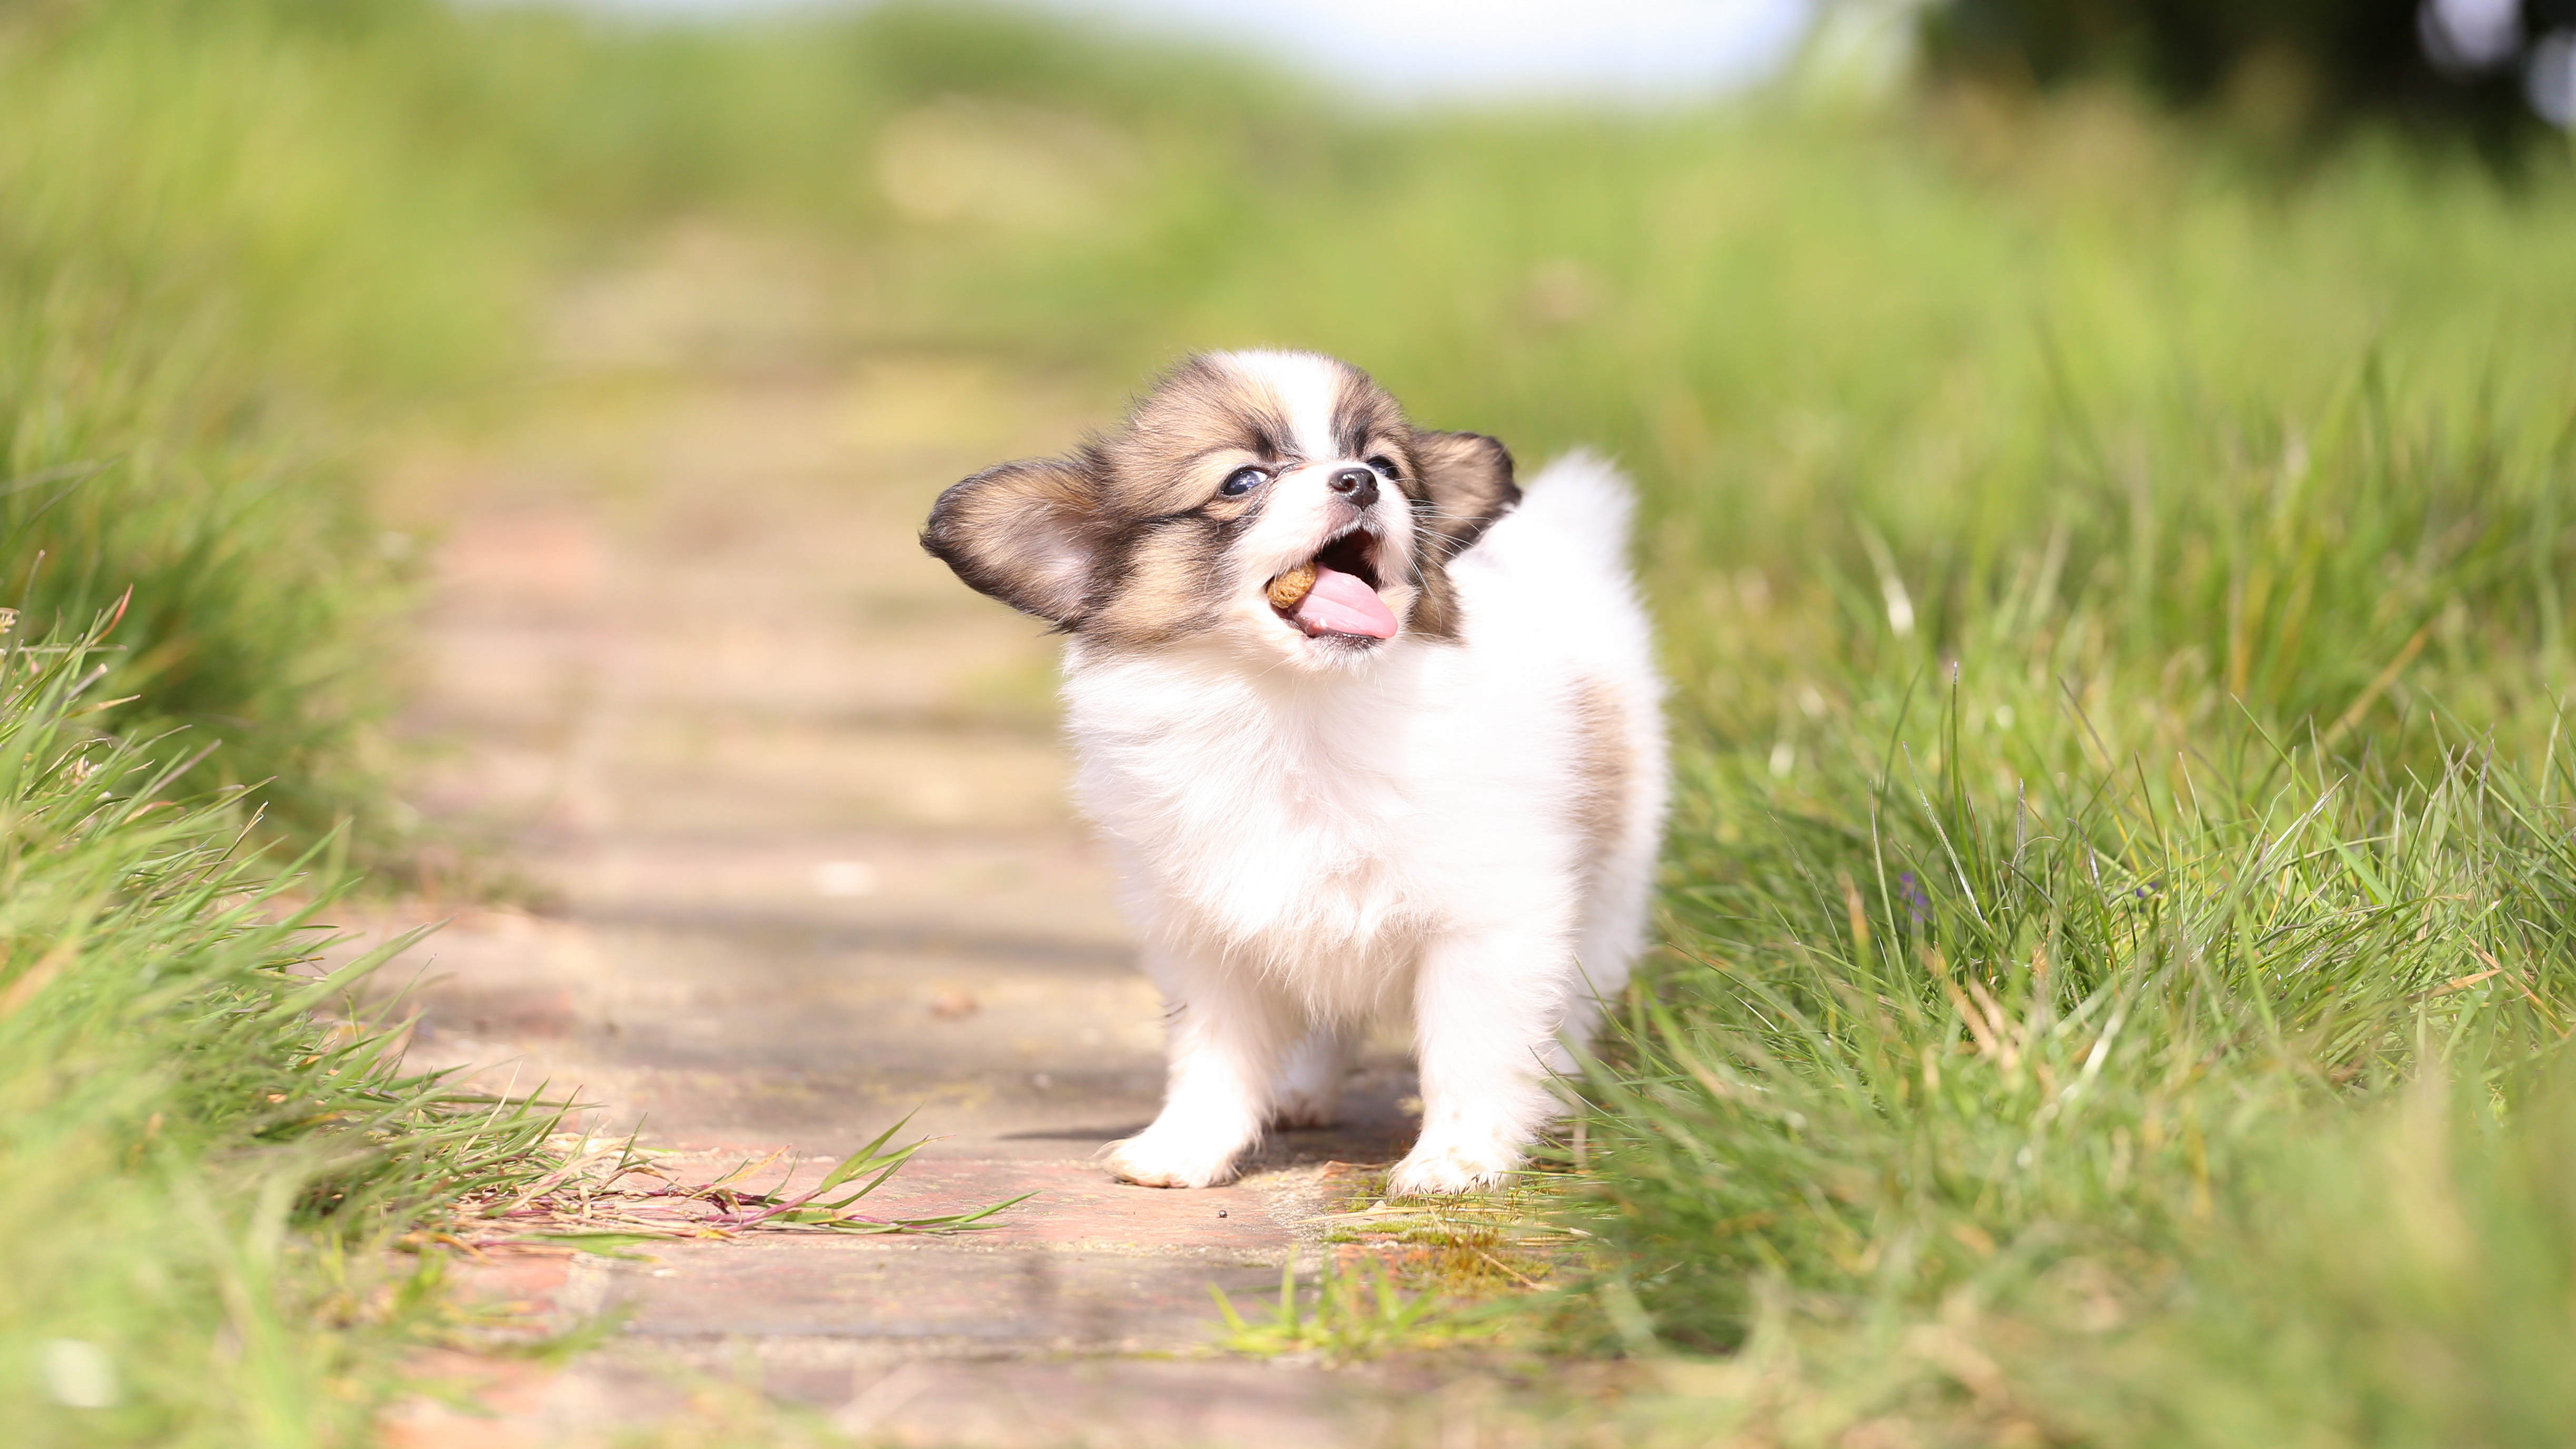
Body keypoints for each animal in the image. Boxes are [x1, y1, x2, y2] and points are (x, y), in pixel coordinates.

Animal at [927, 350, 1669, 1186]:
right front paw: (1185, 1146)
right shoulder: (1205, 933)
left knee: (1576, 995)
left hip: (1614, 884)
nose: (1359, 481)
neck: (1298, 712)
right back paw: (1297, 1091)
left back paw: (1559, 1090)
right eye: (1242, 481)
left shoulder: (1489, 920)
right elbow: (1210, 1052)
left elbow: (1470, 1049)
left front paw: (1457, 1159)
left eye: (1385, 464)